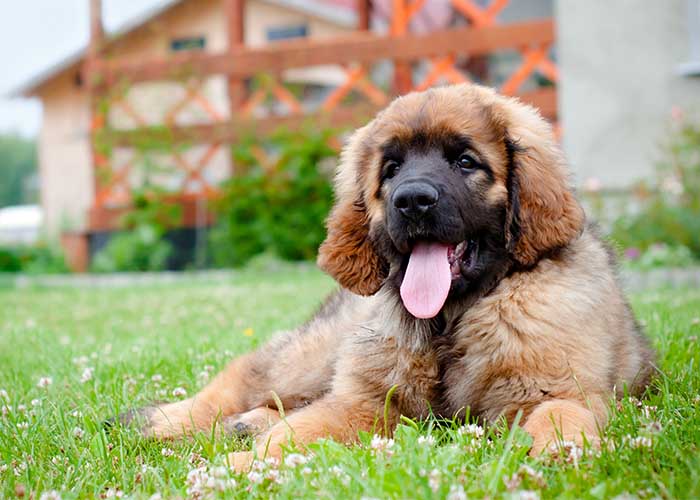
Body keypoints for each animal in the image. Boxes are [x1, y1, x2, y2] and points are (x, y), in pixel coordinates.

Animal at [123, 84, 652, 470]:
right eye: (392, 168)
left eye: (465, 161)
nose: (412, 200)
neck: (449, 321)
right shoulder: (365, 401)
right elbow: (298, 431)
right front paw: (242, 467)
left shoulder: (554, 389)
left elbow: (563, 416)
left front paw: (559, 454)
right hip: (310, 357)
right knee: (242, 378)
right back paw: (160, 423)